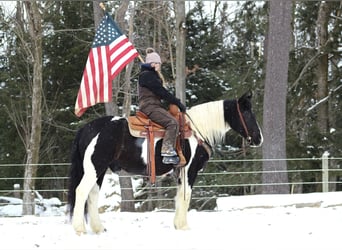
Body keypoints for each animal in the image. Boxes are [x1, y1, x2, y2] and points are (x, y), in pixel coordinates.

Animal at [68, 90, 264, 234]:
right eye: (247, 113)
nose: (259, 138)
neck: (195, 131)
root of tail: (87, 128)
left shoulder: (180, 173)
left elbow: (179, 197)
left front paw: (178, 224)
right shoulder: (189, 171)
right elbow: (186, 196)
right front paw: (184, 226)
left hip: (99, 171)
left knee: (92, 195)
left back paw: (98, 228)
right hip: (95, 168)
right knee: (82, 191)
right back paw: (80, 229)